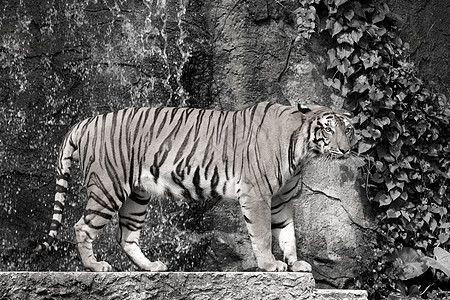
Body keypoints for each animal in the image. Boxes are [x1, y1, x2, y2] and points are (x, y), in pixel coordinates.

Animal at [35, 100, 356, 272]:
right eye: (328, 129)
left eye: (348, 129)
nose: (346, 149)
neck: (302, 150)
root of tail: (88, 120)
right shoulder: (258, 195)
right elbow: (264, 235)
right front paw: (270, 265)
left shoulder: (281, 200)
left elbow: (288, 234)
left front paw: (295, 263)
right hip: (107, 187)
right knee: (82, 226)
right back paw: (95, 267)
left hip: (136, 196)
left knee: (127, 237)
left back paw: (152, 266)